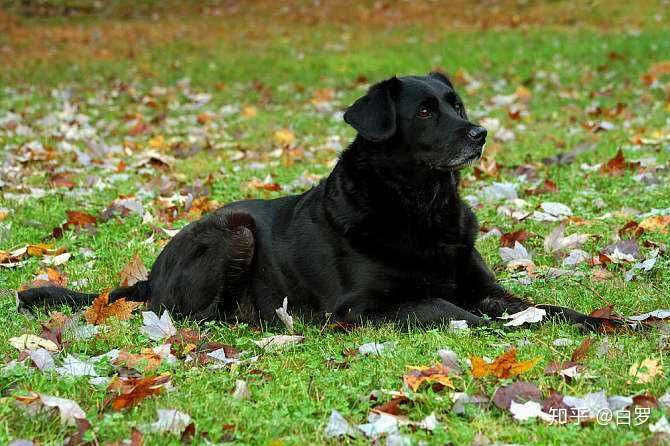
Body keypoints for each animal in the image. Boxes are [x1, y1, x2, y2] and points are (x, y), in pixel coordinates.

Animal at [19, 73, 608, 330]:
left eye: (456, 104)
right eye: (424, 111)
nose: (479, 133)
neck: (421, 205)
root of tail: (150, 276)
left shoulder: (485, 287)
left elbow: (544, 308)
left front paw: (613, 324)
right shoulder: (362, 308)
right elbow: (453, 310)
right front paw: (503, 328)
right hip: (234, 231)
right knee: (194, 315)